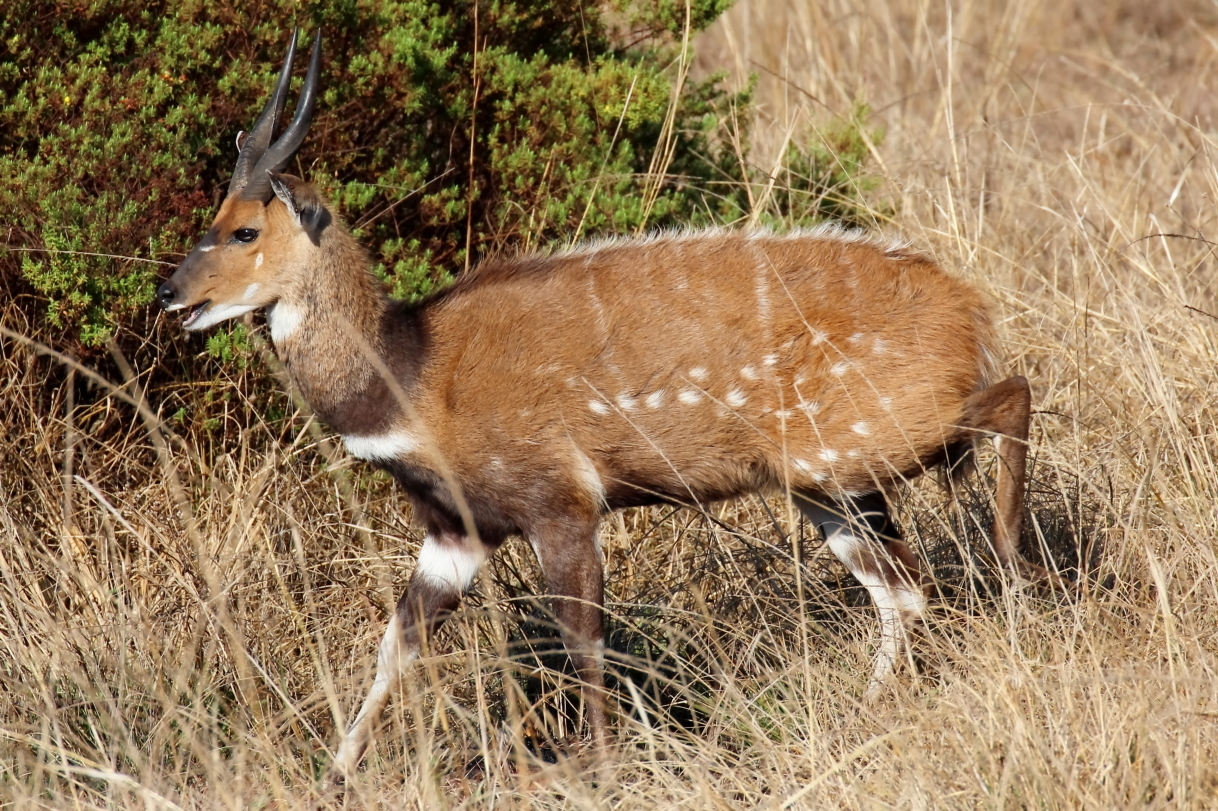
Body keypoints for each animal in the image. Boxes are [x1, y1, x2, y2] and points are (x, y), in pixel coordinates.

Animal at [157, 29, 1042, 779]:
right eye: (212, 217)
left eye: (244, 231)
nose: (170, 293)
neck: (415, 381)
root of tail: (969, 310)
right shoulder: (458, 529)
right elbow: (398, 641)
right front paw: (336, 770)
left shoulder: (563, 501)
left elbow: (583, 639)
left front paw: (603, 764)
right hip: (825, 479)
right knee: (903, 584)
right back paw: (870, 706)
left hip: (864, 438)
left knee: (1010, 400)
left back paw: (1014, 573)